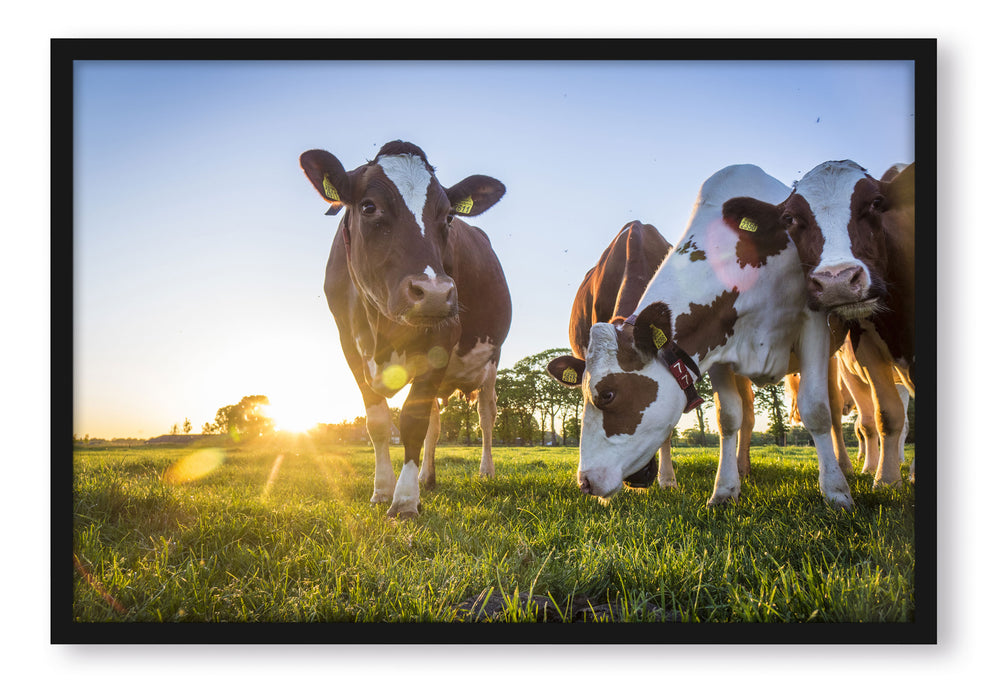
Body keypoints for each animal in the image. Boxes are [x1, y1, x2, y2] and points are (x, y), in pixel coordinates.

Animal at [300, 139, 512, 516]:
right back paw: (427, 477)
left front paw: (404, 501)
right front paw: (383, 490)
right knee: (436, 423)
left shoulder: (443, 339)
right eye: (369, 206)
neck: (382, 328)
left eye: (449, 216)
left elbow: (413, 422)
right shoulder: (349, 346)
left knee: (486, 415)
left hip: (491, 359)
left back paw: (485, 472)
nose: (435, 293)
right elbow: (378, 423)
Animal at [732, 159, 920, 486]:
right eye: (790, 218)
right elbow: (885, 416)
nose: (837, 281)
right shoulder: (866, 345)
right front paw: (885, 479)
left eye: (876, 202)